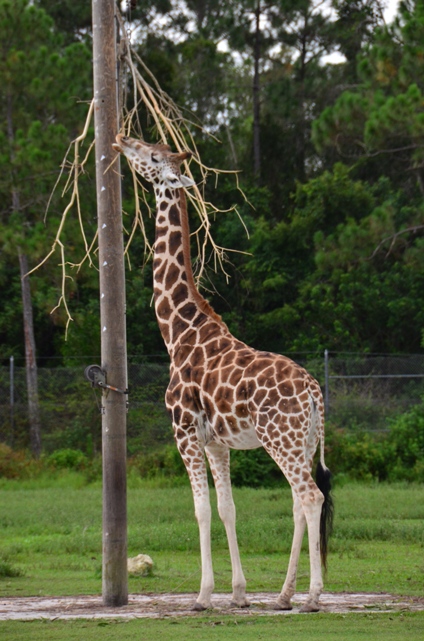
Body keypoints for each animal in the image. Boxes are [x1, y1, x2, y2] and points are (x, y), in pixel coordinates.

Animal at [113, 133, 333, 613]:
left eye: (153, 154)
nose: (122, 139)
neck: (178, 333)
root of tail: (313, 391)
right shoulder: (217, 443)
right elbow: (227, 508)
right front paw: (238, 593)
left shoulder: (184, 432)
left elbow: (199, 509)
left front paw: (202, 594)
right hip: (304, 442)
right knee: (298, 500)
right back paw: (284, 595)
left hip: (280, 438)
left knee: (311, 496)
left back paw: (311, 596)